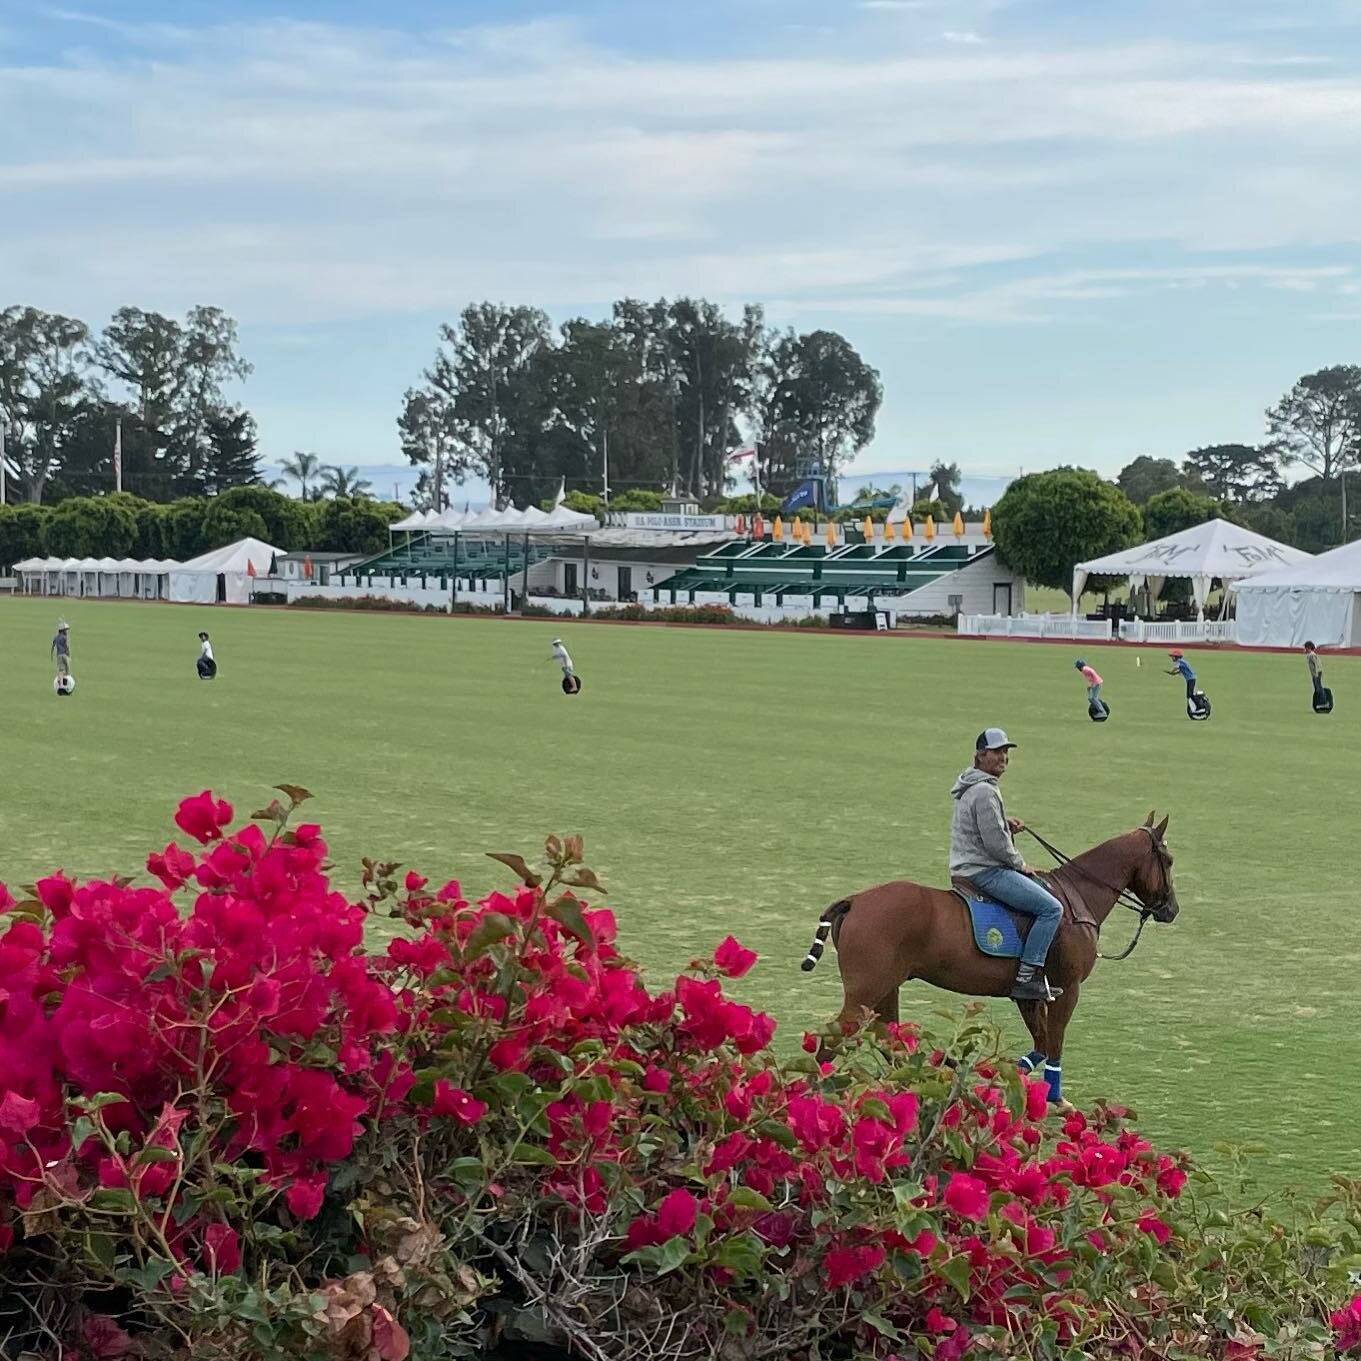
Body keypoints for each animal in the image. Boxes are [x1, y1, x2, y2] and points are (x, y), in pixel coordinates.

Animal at [800, 811, 1175, 1099]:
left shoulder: (1028, 995)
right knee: (836, 1037)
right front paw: (1055, 1099)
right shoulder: (1067, 990)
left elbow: (1040, 1044)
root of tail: (854, 900)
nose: (1172, 909)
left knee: (885, 1036)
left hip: (887, 987)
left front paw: (994, 1075)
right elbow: (1054, 1045)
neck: (1076, 899)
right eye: (1169, 860)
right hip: (867, 989)